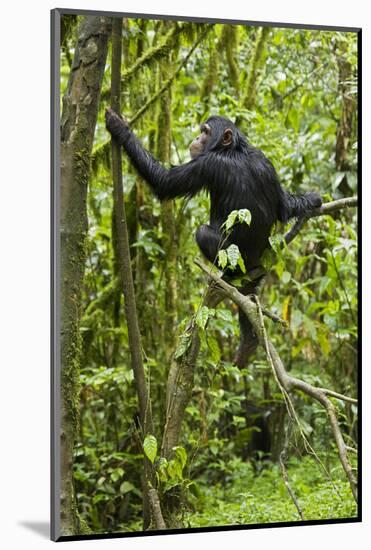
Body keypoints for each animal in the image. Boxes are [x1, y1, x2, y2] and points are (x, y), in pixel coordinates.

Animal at [105, 109, 322, 368]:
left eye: (206, 132)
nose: (197, 138)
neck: (234, 150)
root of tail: (254, 265)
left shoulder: (207, 164)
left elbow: (165, 182)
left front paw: (119, 128)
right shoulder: (266, 163)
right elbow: (283, 206)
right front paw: (312, 200)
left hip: (238, 260)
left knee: (201, 232)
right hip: (257, 270)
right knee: (249, 295)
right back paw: (249, 342)